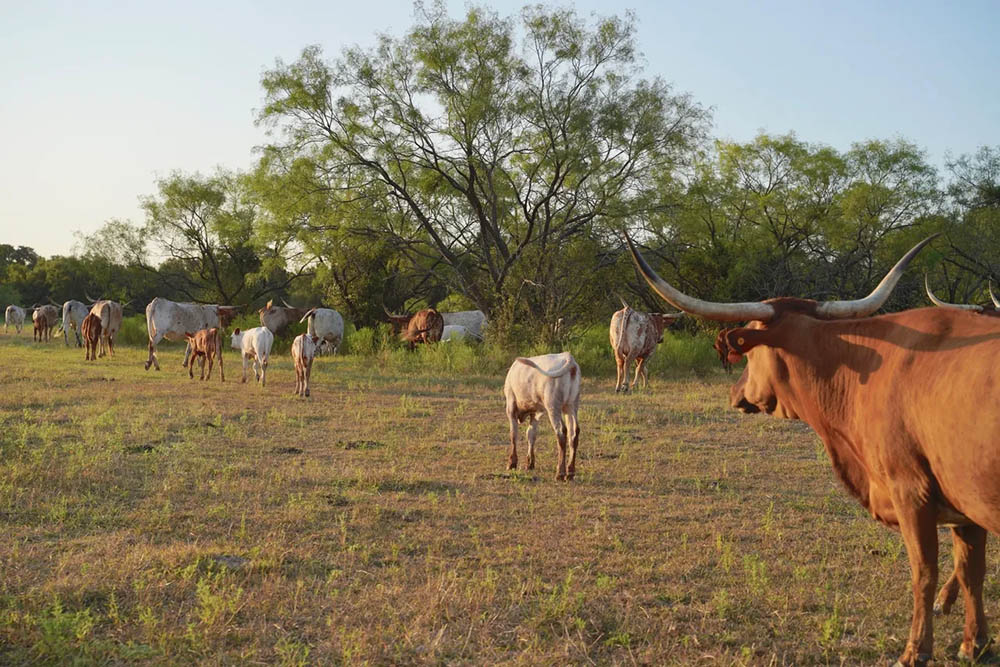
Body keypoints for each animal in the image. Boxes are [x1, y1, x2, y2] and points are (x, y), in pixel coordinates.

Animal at [504, 352, 584, 482]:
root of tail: (568, 357)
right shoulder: (537, 413)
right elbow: (531, 434)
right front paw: (530, 463)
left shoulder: (511, 406)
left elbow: (513, 435)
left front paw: (512, 463)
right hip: (571, 405)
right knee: (574, 433)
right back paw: (570, 472)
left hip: (553, 406)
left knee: (561, 432)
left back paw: (560, 473)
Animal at [628, 232, 1000, 664]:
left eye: (750, 353)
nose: (735, 393)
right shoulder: (965, 510)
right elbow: (972, 571)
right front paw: (975, 643)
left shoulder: (912, 493)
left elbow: (924, 572)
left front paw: (915, 651)